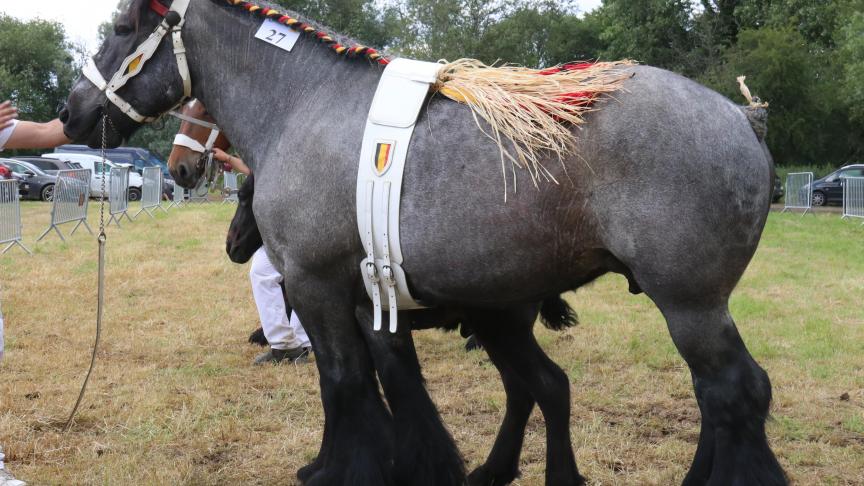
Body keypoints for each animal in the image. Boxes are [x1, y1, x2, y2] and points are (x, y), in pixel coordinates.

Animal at [59, 0, 788, 486]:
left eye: (122, 29)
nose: (71, 113)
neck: (306, 105)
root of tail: (741, 116)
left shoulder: (317, 288)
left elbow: (344, 384)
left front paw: (341, 471)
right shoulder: (365, 301)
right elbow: (382, 385)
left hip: (690, 305)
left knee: (734, 394)